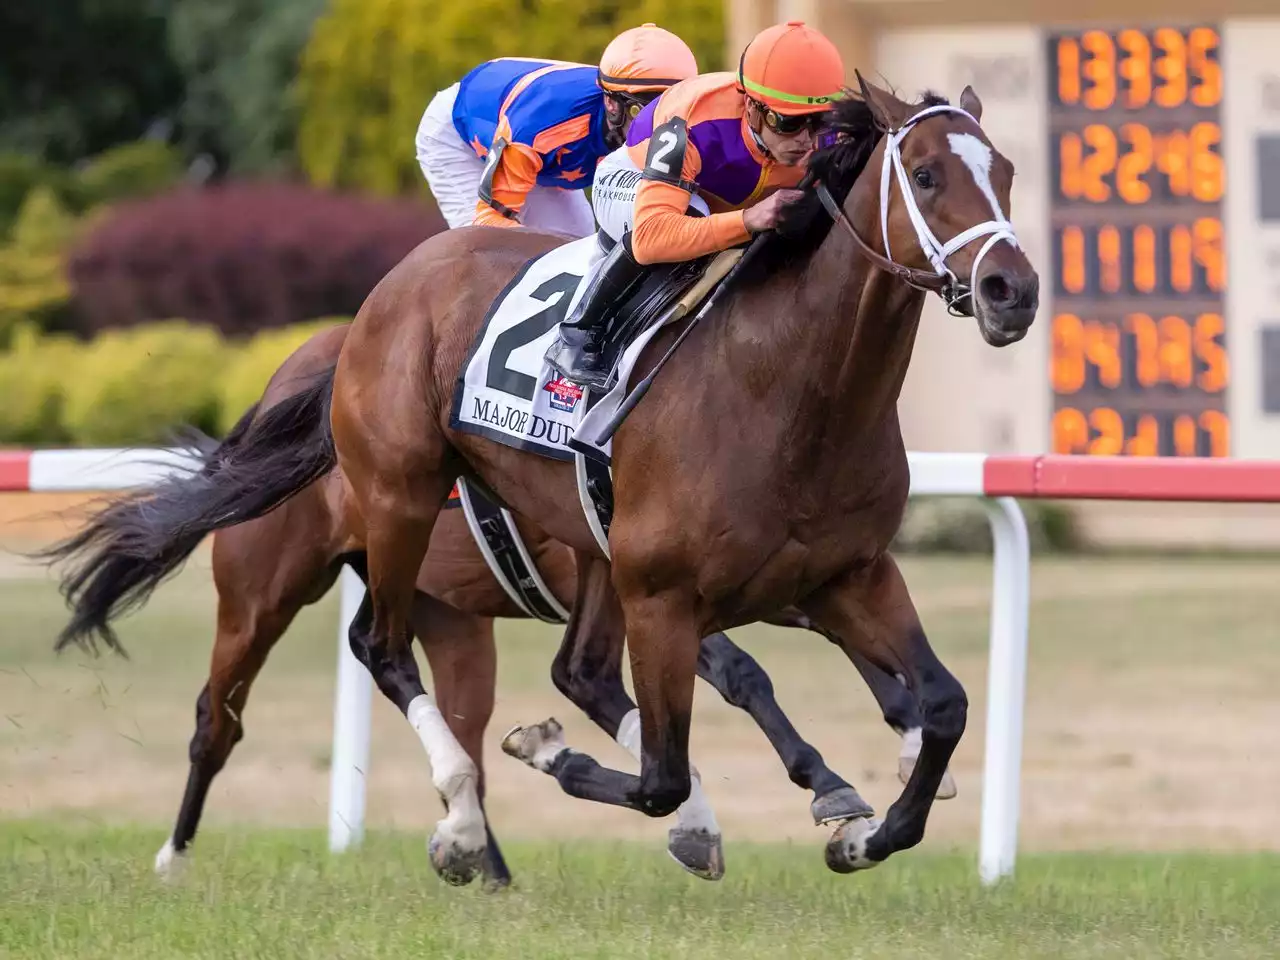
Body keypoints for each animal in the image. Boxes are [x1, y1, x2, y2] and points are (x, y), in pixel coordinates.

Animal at [40, 321, 952, 885]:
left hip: (440, 607)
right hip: (266, 588)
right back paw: (175, 857)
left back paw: (482, 854)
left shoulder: (763, 577)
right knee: (217, 718)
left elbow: (850, 653)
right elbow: (743, 676)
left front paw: (902, 743)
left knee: (453, 714)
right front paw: (828, 783)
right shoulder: (657, 589)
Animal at [322, 79, 1039, 885]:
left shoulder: (848, 575)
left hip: (591, 547)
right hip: (402, 499)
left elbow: (945, 704)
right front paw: (551, 752)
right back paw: (463, 819)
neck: (792, 391)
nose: (1011, 290)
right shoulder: (664, 598)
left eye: (1006, 172)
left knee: (578, 670)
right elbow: (661, 777)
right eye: (924, 174)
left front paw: (862, 837)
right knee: (382, 645)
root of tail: (400, 280)